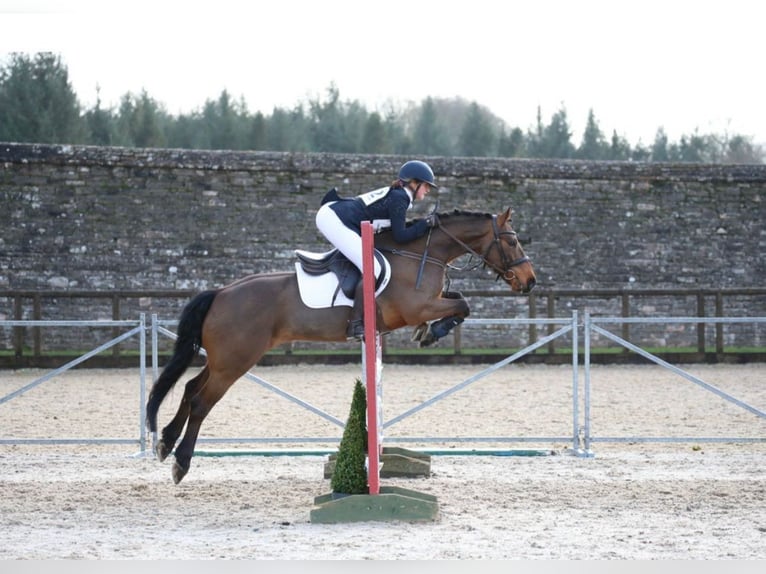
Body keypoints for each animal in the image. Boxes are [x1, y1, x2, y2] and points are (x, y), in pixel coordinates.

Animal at [147, 207, 536, 486]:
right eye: (513, 241)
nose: (530, 282)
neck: (420, 254)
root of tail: (221, 293)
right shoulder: (417, 307)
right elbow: (463, 305)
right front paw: (432, 331)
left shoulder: (427, 304)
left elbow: (459, 302)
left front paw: (427, 333)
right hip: (235, 361)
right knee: (201, 401)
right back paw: (181, 462)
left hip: (222, 359)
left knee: (189, 388)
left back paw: (165, 442)